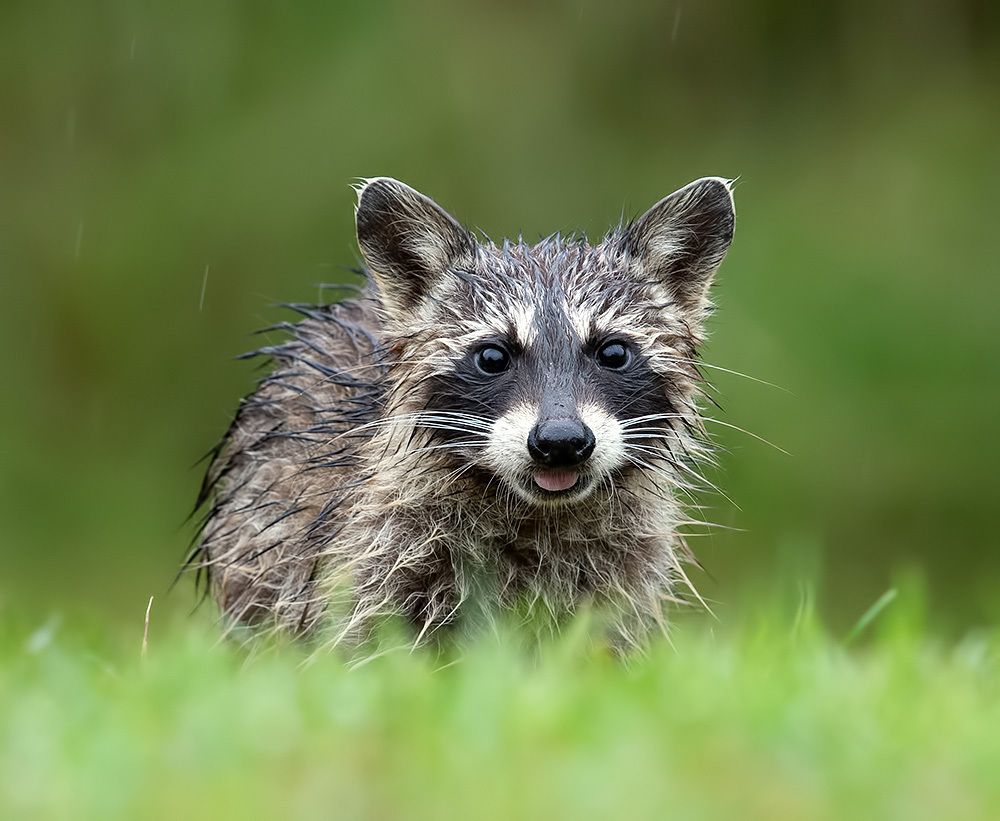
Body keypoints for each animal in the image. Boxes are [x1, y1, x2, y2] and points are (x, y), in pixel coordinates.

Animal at [193, 176, 735, 650]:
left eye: (614, 352)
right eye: (493, 356)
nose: (561, 441)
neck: (536, 513)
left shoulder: (619, 565)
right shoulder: (374, 544)